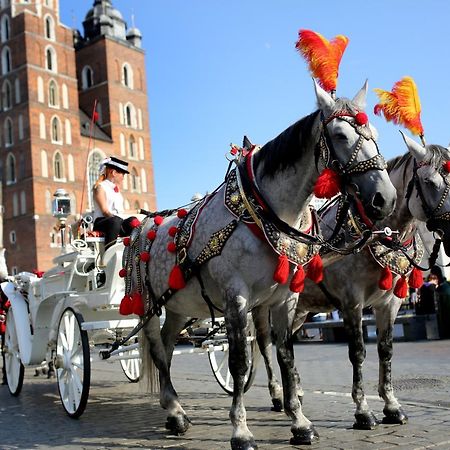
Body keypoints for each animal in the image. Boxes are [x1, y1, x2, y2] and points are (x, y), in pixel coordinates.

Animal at [127, 81, 398, 450]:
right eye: (341, 135)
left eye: (376, 135)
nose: (386, 198)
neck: (263, 212)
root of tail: (143, 224)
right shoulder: (236, 298)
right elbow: (240, 363)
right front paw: (241, 431)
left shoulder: (285, 299)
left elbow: (285, 357)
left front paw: (299, 422)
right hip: (150, 305)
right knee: (157, 349)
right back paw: (175, 412)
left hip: (181, 305)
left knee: (168, 347)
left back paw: (175, 410)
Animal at [255, 134, 450, 432]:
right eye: (429, 182)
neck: (377, 234)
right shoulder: (352, 303)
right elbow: (357, 353)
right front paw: (363, 411)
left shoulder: (390, 304)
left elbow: (385, 350)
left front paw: (392, 406)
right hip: (263, 306)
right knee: (265, 345)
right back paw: (278, 395)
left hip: (298, 309)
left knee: (282, 343)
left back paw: (295, 392)